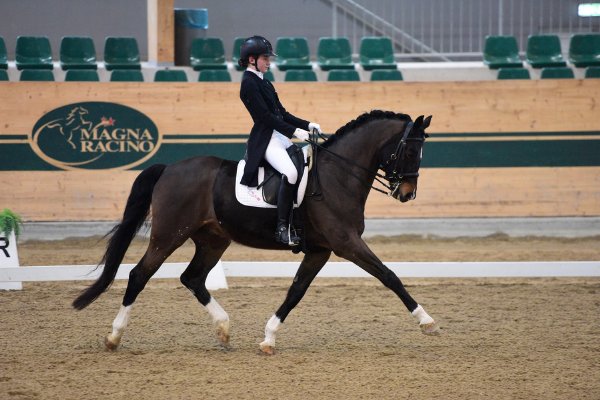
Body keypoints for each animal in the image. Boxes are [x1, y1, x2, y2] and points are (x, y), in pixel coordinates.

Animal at [72, 109, 438, 354]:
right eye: (409, 150)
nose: (407, 194)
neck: (338, 175)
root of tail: (169, 168)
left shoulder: (321, 250)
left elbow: (295, 291)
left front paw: (268, 337)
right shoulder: (346, 243)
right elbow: (389, 276)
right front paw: (427, 322)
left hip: (213, 239)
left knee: (192, 278)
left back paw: (223, 329)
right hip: (168, 236)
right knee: (139, 275)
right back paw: (114, 337)